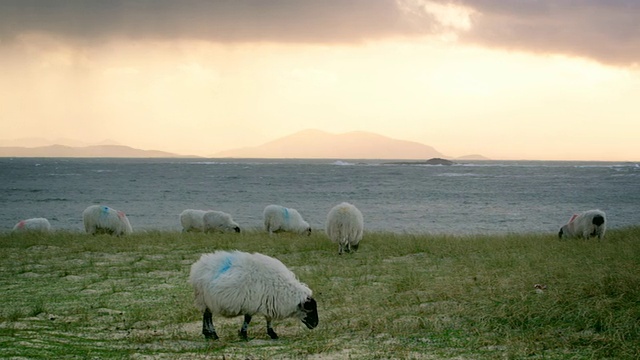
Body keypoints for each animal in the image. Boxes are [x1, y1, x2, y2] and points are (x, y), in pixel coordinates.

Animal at [190, 250, 320, 340]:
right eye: (309, 309)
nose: (315, 324)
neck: (284, 290)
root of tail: (198, 265)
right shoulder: (252, 303)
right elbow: (248, 319)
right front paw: (244, 335)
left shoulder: (269, 302)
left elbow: (268, 319)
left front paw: (272, 334)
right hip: (204, 298)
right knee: (207, 316)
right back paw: (212, 334)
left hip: (205, 300)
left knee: (206, 315)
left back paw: (208, 334)